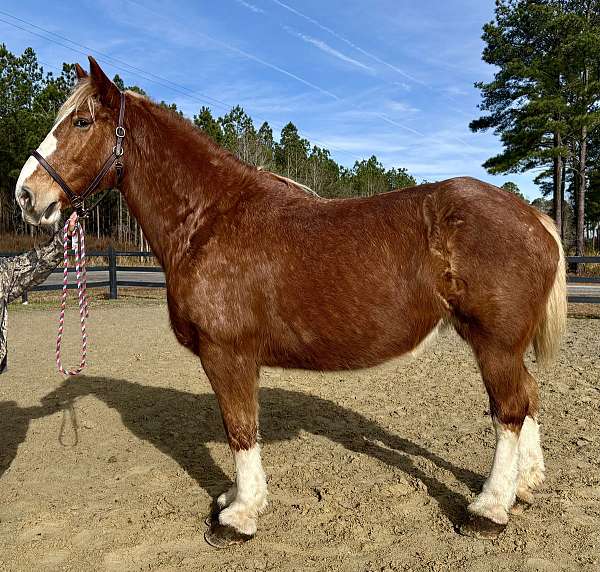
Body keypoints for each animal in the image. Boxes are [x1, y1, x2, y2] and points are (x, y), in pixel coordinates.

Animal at [15, 57, 568, 544]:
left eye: (82, 121)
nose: (26, 195)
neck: (209, 218)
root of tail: (532, 217)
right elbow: (240, 427)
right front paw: (234, 499)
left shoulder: (227, 354)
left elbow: (240, 428)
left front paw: (240, 516)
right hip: (503, 346)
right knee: (528, 396)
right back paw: (524, 485)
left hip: (494, 343)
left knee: (510, 409)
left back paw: (489, 508)